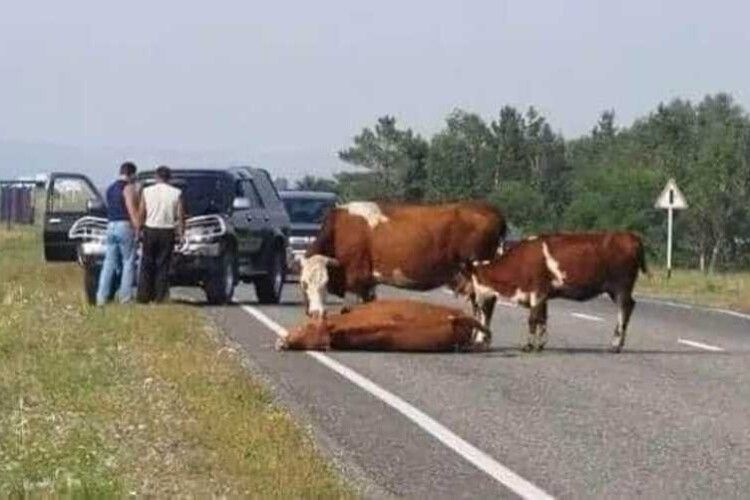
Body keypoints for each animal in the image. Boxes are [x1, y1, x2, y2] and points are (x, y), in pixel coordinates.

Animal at [298, 199, 506, 320]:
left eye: (325, 282)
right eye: (304, 283)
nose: (316, 313)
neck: (339, 230)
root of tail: (490, 209)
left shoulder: (356, 278)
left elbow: (351, 309)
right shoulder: (368, 283)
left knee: (485, 304)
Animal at [462, 231, 648, 352]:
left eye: (473, 281)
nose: (473, 300)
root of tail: (631, 236)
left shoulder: (537, 291)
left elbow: (533, 319)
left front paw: (529, 346)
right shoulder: (543, 294)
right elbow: (542, 318)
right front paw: (540, 344)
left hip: (621, 286)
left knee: (624, 309)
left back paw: (615, 344)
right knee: (630, 306)